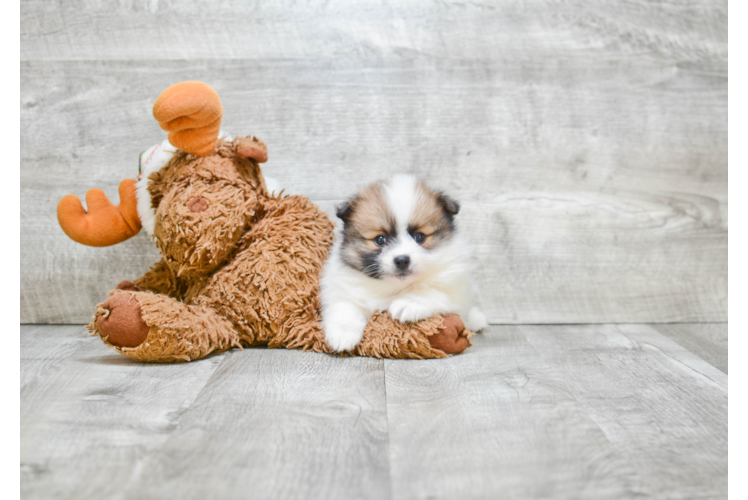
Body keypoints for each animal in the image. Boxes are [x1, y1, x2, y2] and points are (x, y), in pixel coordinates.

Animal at [318, 175, 488, 352]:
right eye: (380, 239)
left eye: (420, 237)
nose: (401, 260)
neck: (394, 287)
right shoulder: (342, 288)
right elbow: (345, 306)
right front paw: (343, 334)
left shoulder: (454, 288)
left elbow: (431, 290)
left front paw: (409, 303)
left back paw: (477, 320)